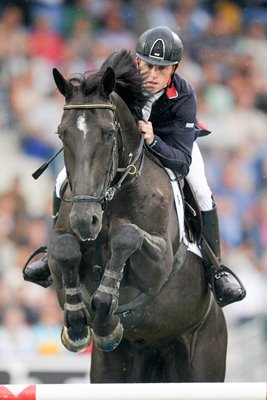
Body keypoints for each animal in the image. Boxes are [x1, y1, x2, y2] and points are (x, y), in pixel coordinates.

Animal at [48, 50, 228, 384]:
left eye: (108, 134)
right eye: (62, 133)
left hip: (203, 358)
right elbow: (64, 250)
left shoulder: (161, 262)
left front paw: (106, 313)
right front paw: (78, 324)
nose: (85, 220)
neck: (111, 196)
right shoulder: (59, 248)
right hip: (114, 369)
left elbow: (127, 236)